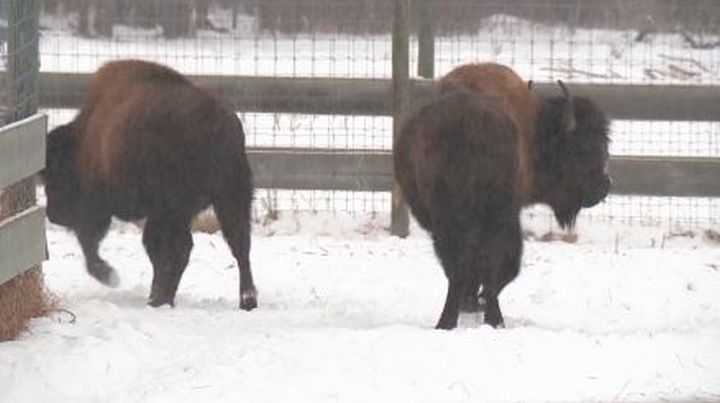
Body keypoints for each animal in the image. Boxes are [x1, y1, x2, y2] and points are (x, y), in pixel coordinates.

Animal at [42, 59, 257, 310]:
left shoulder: (99, 208)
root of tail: (219, 125)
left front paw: (109, 276)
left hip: (183, 207)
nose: (53, 214)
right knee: (238, 244)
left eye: (56, 175)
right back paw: (245, 300)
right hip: (229, 198)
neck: (85, 139)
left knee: (182, 247)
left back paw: (159, 299)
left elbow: (90, 243)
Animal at [394, 63, 610, 329]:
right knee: (490, 263)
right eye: (582, 147)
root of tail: (466, 122)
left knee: (457, 267)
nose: (604, 186)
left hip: (446, 217)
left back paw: (449, 320)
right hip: (494, 215)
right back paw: (492, 318)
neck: (534, 130)